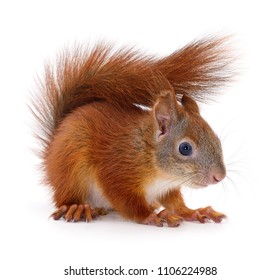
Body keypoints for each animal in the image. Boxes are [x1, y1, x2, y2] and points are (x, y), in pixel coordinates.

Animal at [31, 36, 235, 226]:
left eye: (216, 139)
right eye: (185, 148)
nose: (219, 176)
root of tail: (53, 144)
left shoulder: (167, 188)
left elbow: (176, 204)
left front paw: (194, 212)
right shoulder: (117, 171)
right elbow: (128, 202)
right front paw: (152, 216)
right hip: (70, 166)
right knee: (65, 197)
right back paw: (78, 208)